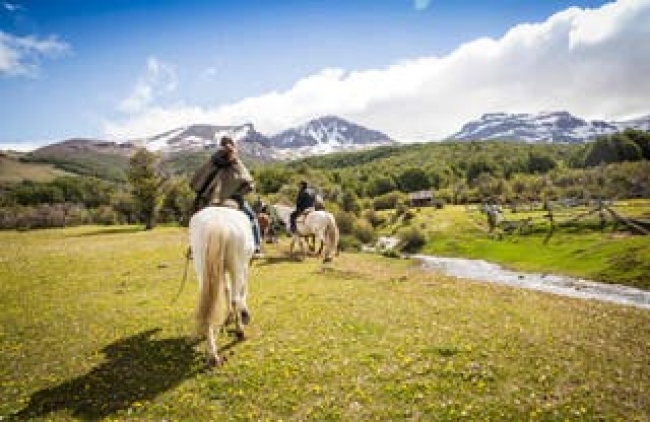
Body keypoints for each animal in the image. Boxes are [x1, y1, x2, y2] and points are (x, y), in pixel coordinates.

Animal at [187, 205, 253, 366]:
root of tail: (217, 223)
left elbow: (226, 289)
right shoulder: (244, 267)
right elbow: (242, 292)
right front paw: (243, 314)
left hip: (202, 269)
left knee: (207, 306)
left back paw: (212, 354)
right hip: (237, 266)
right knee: (235, 299)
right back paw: (240, 330)